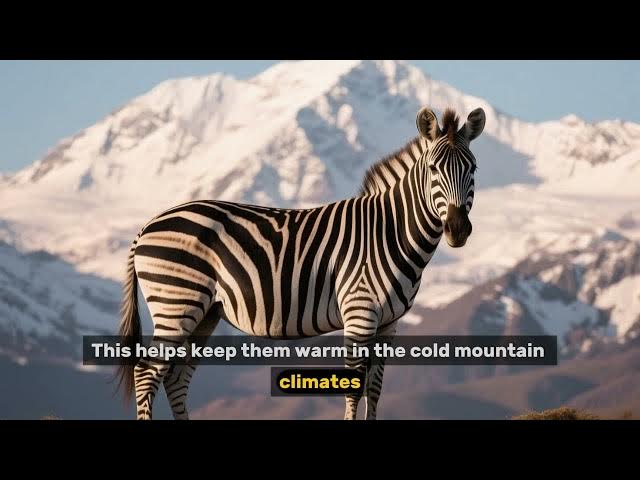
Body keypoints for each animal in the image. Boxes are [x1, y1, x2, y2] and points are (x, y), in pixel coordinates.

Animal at [116, 105, 486, 420]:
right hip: (176, 302)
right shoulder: (360, 312)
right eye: (433, 169)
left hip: (203, 312)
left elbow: (376, 388)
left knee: (176, 378)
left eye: (473, 168)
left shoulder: (388, 322)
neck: (390, 231)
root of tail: (147, 226)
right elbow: (355, 385)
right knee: (147, 373)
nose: (457, 229)